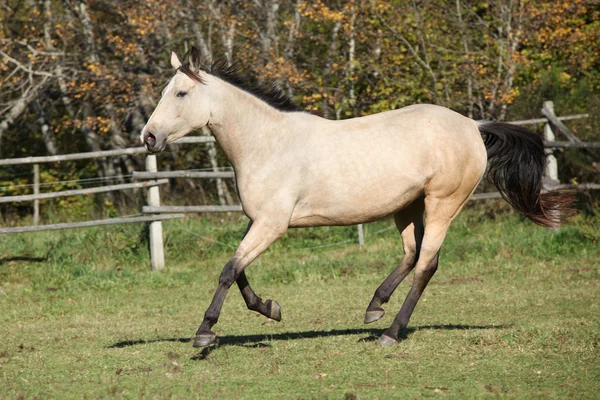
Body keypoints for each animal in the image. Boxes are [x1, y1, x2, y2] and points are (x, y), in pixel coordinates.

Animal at [139, 47, 572, 346]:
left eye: (180, 93)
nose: (148, 137)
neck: (268, 143)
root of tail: (472, 126)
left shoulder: (272, 225)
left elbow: (229, 270)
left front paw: (205, 332)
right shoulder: (258, 221)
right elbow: (239, 268)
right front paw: (271, 309)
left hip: (442, 204)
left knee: (426, 265)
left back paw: (391, 333)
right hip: (407, 207)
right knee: (411, 254)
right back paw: (374, 307)